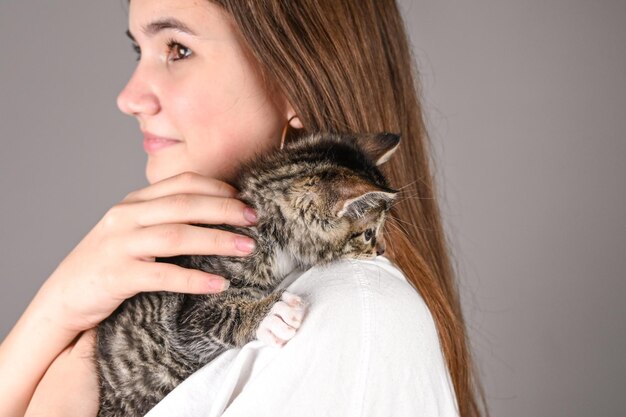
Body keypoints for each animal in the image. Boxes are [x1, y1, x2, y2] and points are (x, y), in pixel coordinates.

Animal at [96, 131, 400, 416]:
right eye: (369, 233)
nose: (382, 250)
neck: (273, 236)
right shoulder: (187, 308)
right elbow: (205, 321)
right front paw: (270, 314)